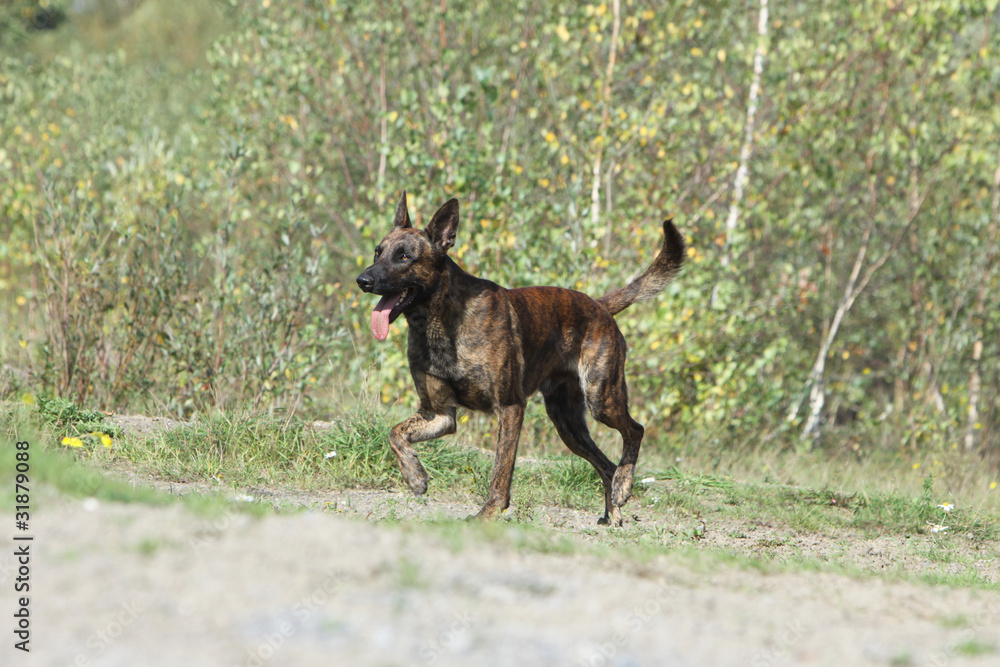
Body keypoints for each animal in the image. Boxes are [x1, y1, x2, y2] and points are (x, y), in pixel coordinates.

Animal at [356, 193, 684, 528]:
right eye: (378, 252)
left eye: (404, 257)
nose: (362, 280)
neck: (441, 322)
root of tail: (599, 304)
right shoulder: (439, 414)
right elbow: (395, 433)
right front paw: (414, 475)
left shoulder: (510, 408)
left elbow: (501, 472)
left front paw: (488, 514)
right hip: (568, 425)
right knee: (605, 465)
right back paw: (615, 508)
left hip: (602, 399)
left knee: (635, 430)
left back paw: (624, 486)